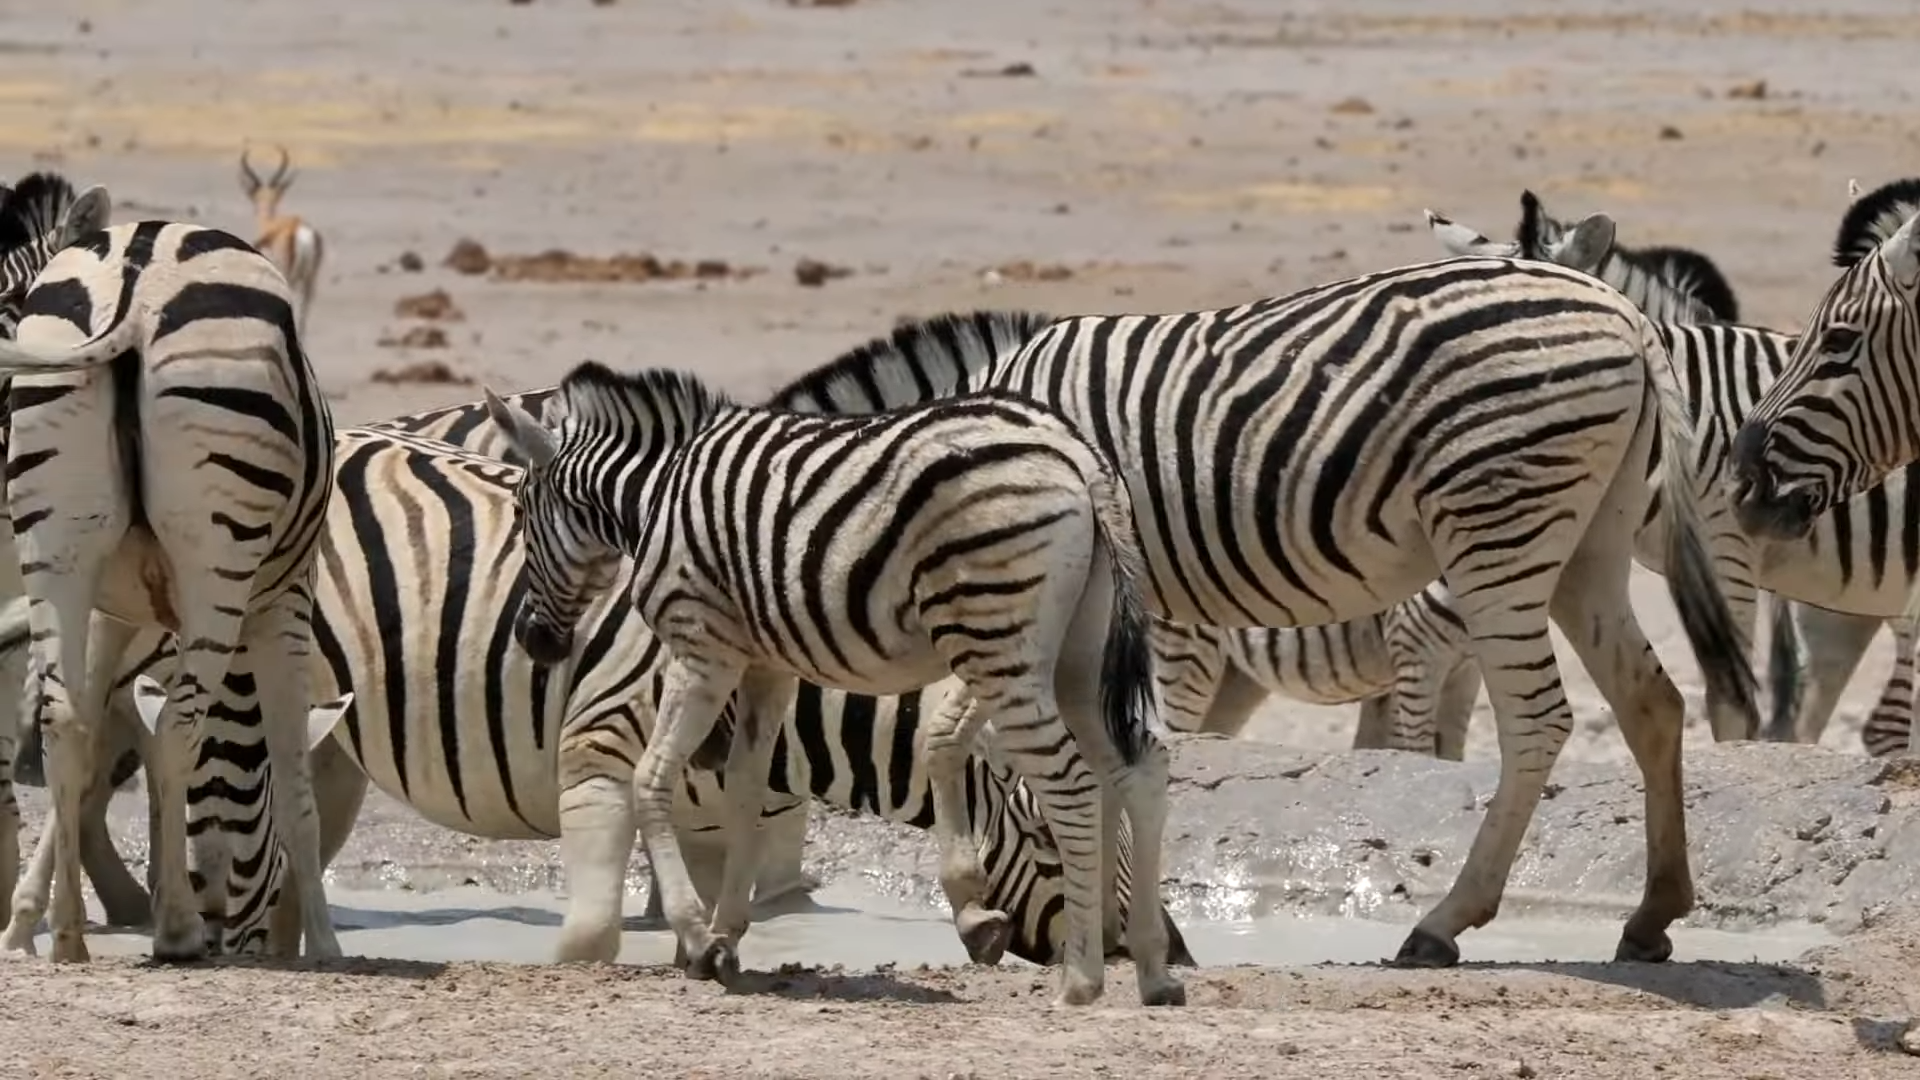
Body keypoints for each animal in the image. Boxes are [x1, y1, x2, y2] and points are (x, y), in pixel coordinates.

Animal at [0, 218, 338, 964]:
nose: (229, 924)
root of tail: (141, 266)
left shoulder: (113, 611)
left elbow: (90, 735)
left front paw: (27, 917)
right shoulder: (285, 604)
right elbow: (295, 776)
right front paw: (326, 943)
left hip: (55, 543)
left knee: (62, 720)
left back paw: (69, 934)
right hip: (220, 554)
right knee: (179, 726)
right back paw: (177, 930)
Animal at [486, 364, 1181, 1008]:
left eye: (519, 512)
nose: (532, 641)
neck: (657, 490)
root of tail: (1076, 454)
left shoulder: (701, 648)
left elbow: (648, 780)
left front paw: (696, 938)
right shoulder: (765, 663)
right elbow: (743, 789)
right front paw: (728, 937)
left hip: (997, 637)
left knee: (1073, 785)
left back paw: (1082, 981)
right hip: (1078, 653)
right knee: (1138, 767)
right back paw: (1153, 971)